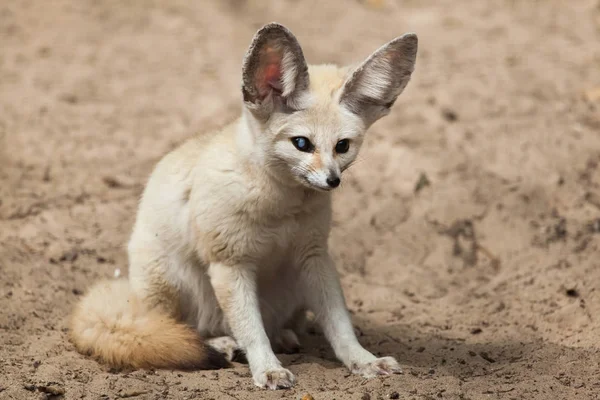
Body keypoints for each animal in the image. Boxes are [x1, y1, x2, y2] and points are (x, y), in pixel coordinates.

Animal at [70, 22, 418, 390]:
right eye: (301, 144)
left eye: (343, 146)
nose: (332, 180)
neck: (281, 211)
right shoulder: (230, 263)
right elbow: (251, 329)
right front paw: (267, 368)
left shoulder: (314, 256)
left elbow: (339, 324)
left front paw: (363, 360)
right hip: (168, 281)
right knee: (180, 329)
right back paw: (220, 343)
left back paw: (281, 337)